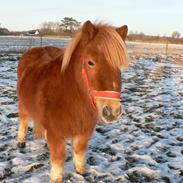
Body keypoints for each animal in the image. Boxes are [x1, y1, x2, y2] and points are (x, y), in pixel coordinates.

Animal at [17, 20, 129, 182]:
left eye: (119, 65)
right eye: (90, 62)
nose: (112, 111)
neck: (69, 96)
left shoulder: (85, 129)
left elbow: (79, 150)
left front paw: (81, 171)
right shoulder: (56, 133)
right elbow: (58, 157)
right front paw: (56, 177)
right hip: (22, 104)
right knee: (24, 120)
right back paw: (21, 141)